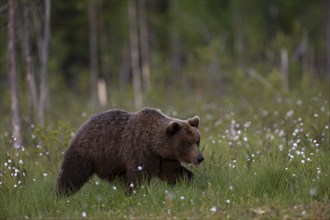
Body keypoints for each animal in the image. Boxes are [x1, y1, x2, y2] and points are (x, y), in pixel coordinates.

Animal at [55, 107, 202, 195]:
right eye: (187, 143)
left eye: (197, 141)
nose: (200, 158)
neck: (154, 144)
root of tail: (83, 125)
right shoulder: (139, 150)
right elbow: (139, 175)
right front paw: (139, 192)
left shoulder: (163, 158)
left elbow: (173, 172)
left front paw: (189, 181)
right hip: (87, 153)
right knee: (72, 174)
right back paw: (61, 194)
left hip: (111, 163)